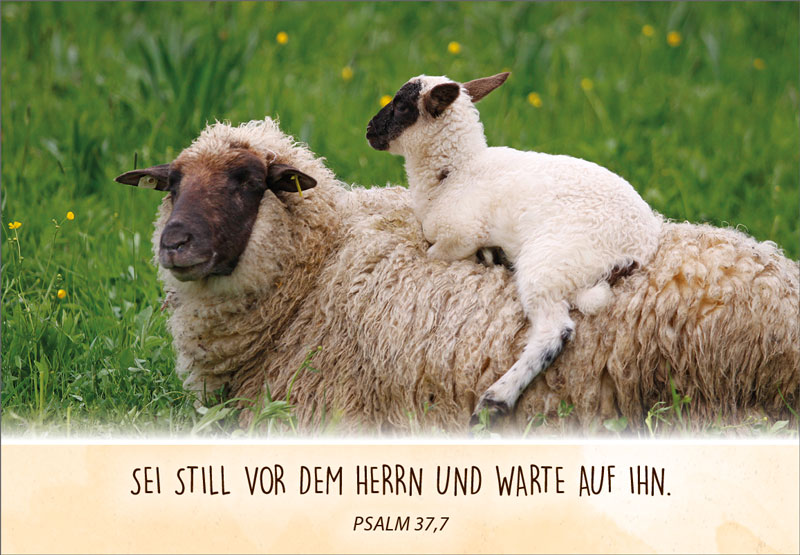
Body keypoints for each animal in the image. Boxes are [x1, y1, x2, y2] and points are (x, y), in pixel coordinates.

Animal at [115, 117, 799, 435]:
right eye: (171, 184)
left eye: (247, 182)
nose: (175, 244)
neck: (318, 272)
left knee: (554, 328)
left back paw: (497, 397)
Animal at [366, 72, 665, 423]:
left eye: (401, 106)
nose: (368, 130)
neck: (454, 175)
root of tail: (640, 246)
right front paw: (489, 255)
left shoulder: (460, 234)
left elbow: (435, 252)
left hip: (550, 261)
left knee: (554, 330)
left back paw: (495, 401)